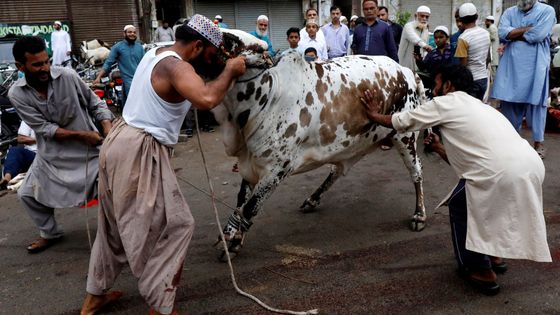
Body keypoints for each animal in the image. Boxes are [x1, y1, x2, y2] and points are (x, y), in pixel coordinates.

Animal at [212, 29, 426, 260]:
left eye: (229, 40)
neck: (269, 94)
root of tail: (405, 71)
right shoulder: (251, 164)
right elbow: (241, 202)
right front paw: (231, 238)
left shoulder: (277, 169)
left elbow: (250, 207)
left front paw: (233, 241)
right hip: (357, 142)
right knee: (337, 171)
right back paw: (313, 199)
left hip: (405, 135)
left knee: (416, 173)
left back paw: (419, 215)